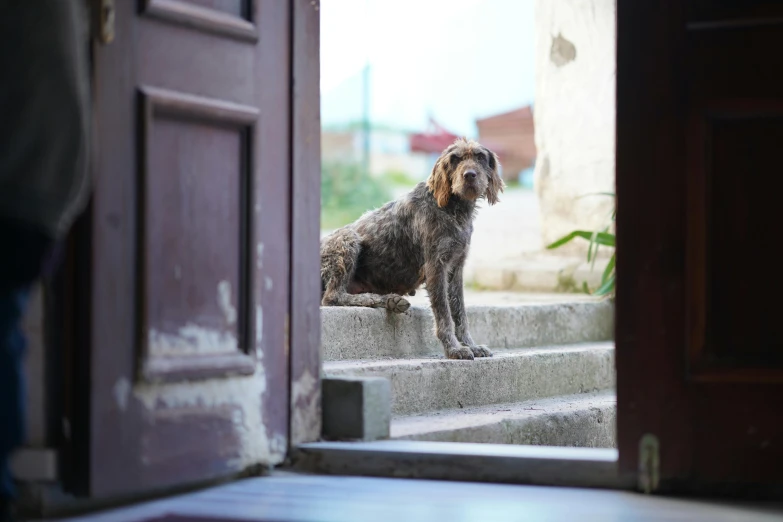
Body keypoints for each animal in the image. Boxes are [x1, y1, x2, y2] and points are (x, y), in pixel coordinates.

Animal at [322, 137, 506, 358]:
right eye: (455, 159)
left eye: (480, 157)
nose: (469, 175)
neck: (452, 208)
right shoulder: (436, 267)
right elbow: (444, 314)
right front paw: (453, 348)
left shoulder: (456, 268)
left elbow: (460, 313)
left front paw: (470, 345)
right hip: (347, 240)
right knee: (332, 296)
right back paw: (380, 299)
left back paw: (390, 300)